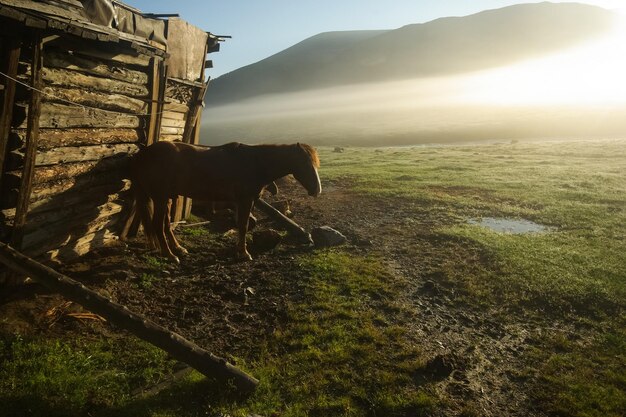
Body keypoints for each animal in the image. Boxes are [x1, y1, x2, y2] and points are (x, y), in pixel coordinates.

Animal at [127, 141, 322, 262]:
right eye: (305, 163)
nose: (317, 190)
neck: (255, 163)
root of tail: (142, 154)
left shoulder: (245, 201)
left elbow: (243, 224)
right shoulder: (244, 200)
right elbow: (243, 225)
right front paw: (243, 253)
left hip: (166, 198)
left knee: (166, 224)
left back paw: (178, 249)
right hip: (160, 198)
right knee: (158, 226)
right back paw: (170, 255)